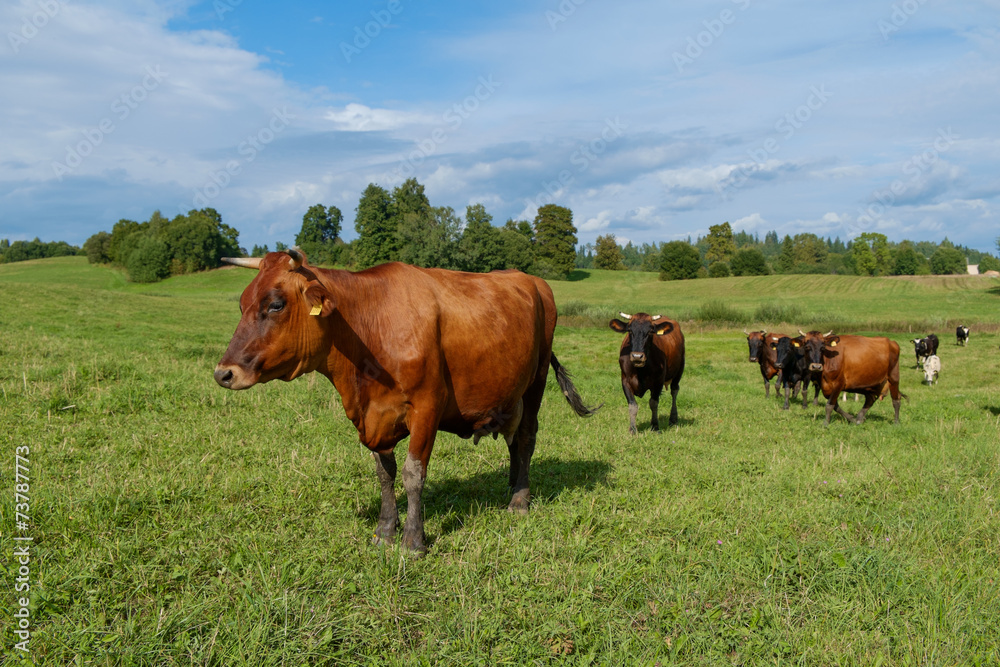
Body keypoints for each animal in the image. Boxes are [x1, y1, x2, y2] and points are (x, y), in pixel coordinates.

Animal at [214, 249, 596, 552]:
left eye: (276, 304)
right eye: (241, 304)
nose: (223, 373)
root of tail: (531, 279)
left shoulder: (427, 407)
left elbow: (414, 474)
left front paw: (414, 539)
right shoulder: (376, 417)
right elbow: (385, 474)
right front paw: (385, 531)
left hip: (536, 381)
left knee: (527, 437)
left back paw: (520, 500)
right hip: (509, 391)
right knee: (513, 440)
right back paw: (512, 484)